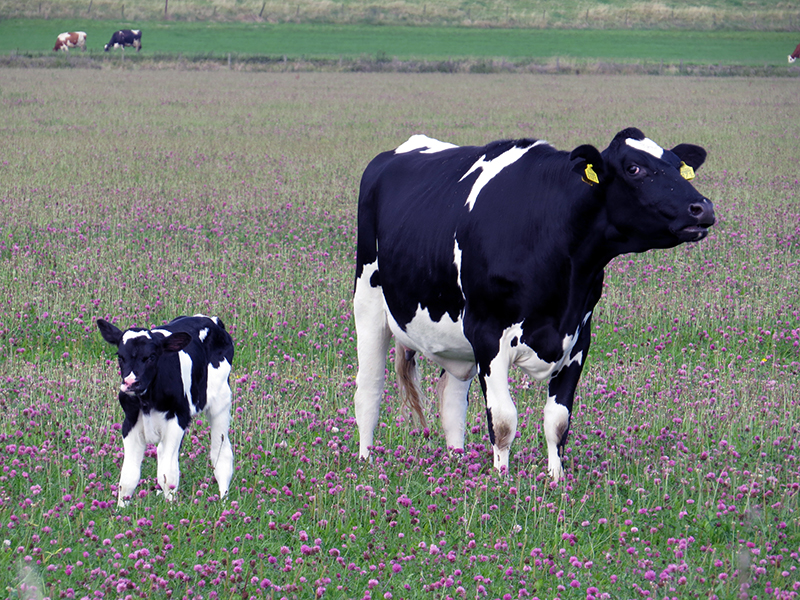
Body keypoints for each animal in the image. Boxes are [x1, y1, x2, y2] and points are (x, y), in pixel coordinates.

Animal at [97, 314, 234, 506]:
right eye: (120, 356)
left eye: (152, 356)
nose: (131, 383)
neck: (148, 401)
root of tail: (211, 319)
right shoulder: (130, 423)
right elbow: (128, 477)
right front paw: (120, 509)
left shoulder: (178, 419)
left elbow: (168, 475)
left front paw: (169, 509)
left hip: (220, 403)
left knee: (221, 454)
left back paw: (223, 502)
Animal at [354, 127, 716, 482]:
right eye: (634, 168)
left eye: (678, 165)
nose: (703, 208)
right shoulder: (488, 333)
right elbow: (503, 421)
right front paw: (502, 481)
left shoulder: (578, 336)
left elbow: (558, 420)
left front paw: (556, 479)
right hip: (368, 303)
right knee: (369, 389)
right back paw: (366, 460)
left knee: (452, 400)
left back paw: (457, 462)